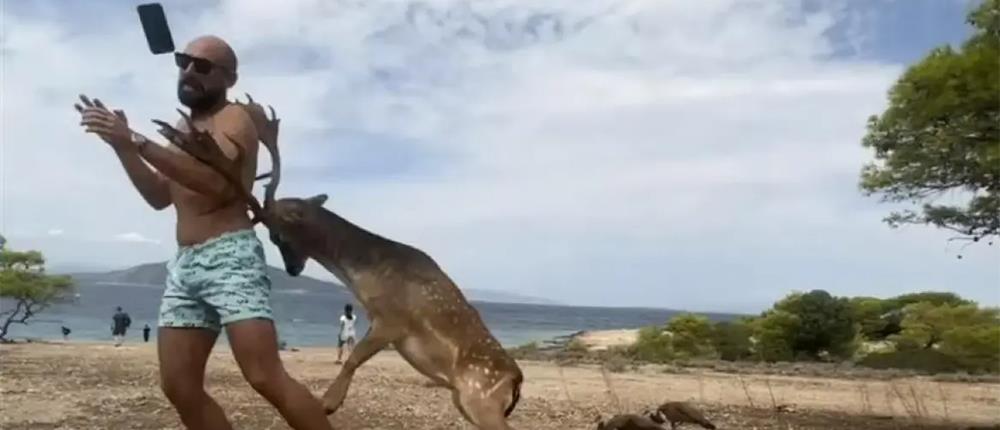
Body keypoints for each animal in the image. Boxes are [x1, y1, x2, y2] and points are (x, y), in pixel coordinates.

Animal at [153, 96, 528, 430]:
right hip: (465, 400)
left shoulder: (393, 318)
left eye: (277, 235)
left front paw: (328, 403)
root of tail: (516, 380)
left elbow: (354, 357)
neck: (365, 276)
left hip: (480, 396)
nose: (293, 270)